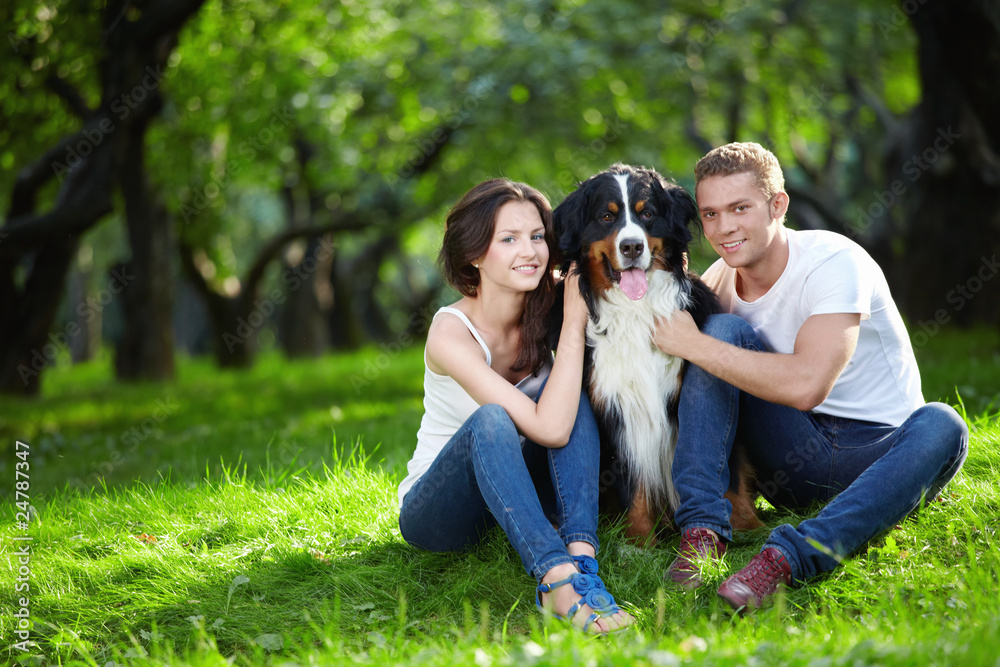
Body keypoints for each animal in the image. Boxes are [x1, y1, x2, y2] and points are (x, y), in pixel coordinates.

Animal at [548, 163, 756, 548]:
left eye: (647, 214)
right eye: (606, 216)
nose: (631, 246)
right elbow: (634, 483)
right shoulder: (617, 407)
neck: (637, 311)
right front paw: (639, 541)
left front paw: (748, 525)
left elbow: (729, 471)